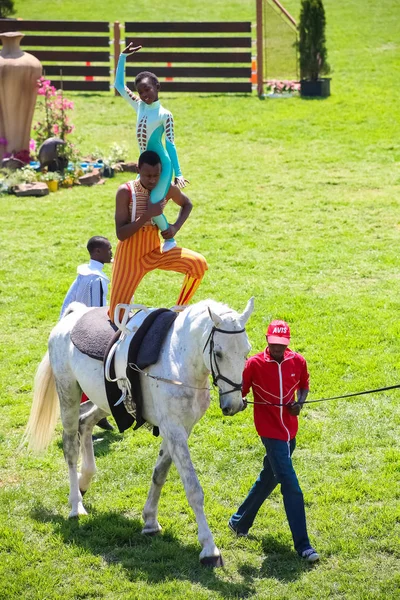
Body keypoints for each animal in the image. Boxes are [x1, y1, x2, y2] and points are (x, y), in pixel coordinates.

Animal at [24, 298, 253, 564]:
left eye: (246, 352)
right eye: (218, 353)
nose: (234, 405)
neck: (178, 361)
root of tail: (74, 314)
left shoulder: (178, 430)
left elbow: (159, 474)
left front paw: (150, 521)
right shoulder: (174, 430)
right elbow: (193, 488)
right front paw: (209, 547)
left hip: (107, 403)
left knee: (85, 422)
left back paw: (85, 478)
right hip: (68, 395)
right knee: (71, 446)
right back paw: (76, 505)